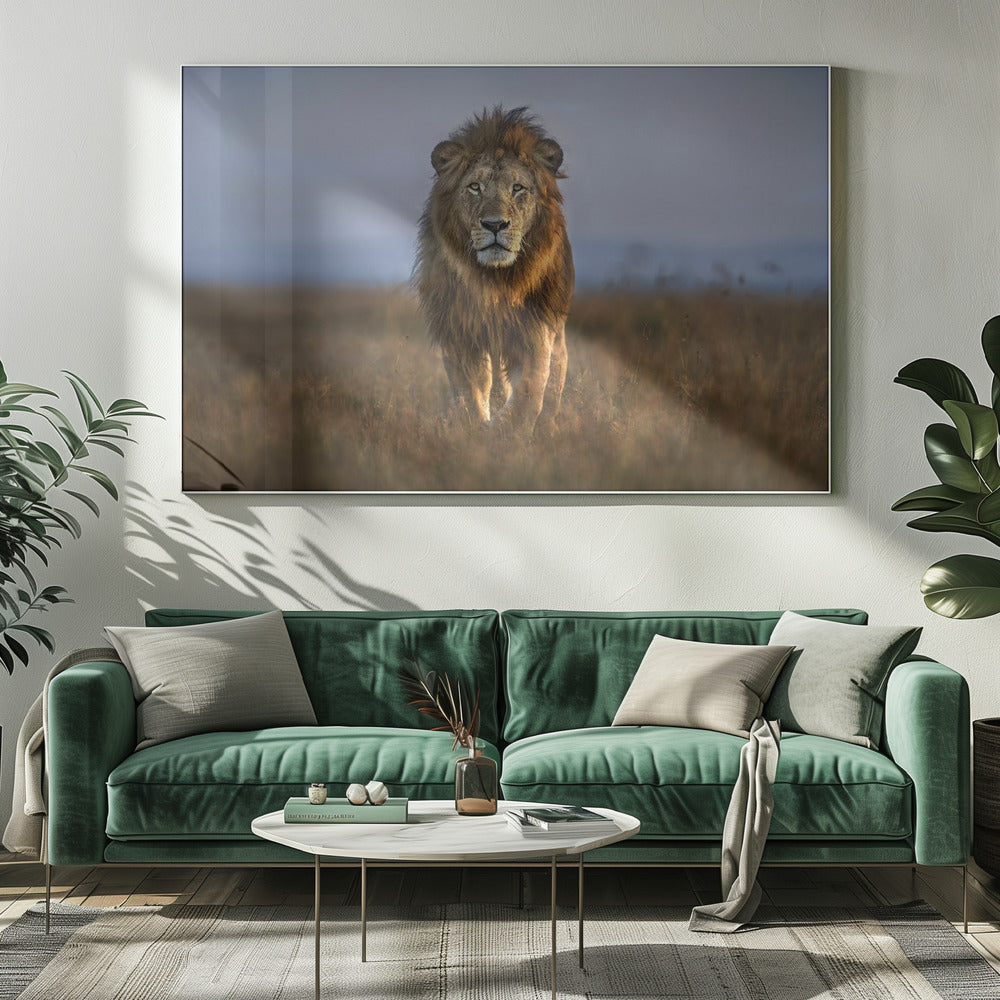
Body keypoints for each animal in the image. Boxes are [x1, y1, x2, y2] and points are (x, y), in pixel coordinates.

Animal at [414, 106, 574, 435]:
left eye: (518, 188)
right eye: (475, 187)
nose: (495, 224)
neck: (495, 278)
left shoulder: (534, 330)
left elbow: (531, 388)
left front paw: (510, 431)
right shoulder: (459, 329)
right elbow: (472, 389)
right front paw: (477, 428)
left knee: (554, 380)